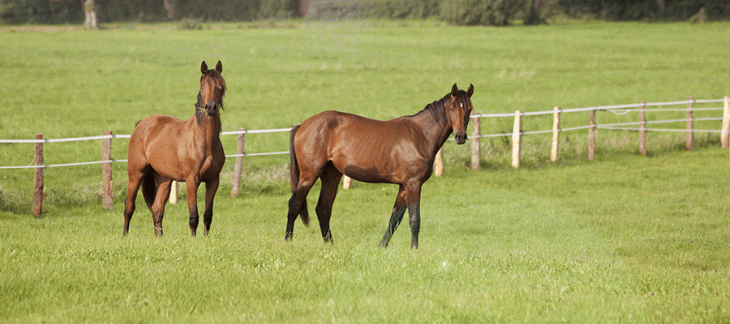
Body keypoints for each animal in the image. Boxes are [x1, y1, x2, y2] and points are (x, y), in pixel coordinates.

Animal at [122, 60, 226, 237]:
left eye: (220, 84)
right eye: (202, 85)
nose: (210, 108)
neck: (204, 141)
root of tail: (142, 124)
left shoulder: (213, 180)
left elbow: (207, 215)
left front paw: (206, 238)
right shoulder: (192, 180)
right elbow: (193, 216)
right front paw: (193, 239)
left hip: (164, 179)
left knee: (157, 209)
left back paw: (159, 238)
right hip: (136, 173)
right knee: (129, 206)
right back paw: (125, 236)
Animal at [284, 83, 472, 248]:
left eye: (469, 109)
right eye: (452, 108)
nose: (460, 137)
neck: (420, 135)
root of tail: (301, 125)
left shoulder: (403, 186)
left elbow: (395, 219)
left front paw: (382, 246)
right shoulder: (413, 184)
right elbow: (414, 219)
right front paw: (414, 249)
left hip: (331, 176)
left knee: (323, 209)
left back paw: (330, 245)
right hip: (309, 175)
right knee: (294, 204)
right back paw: (288, 242)